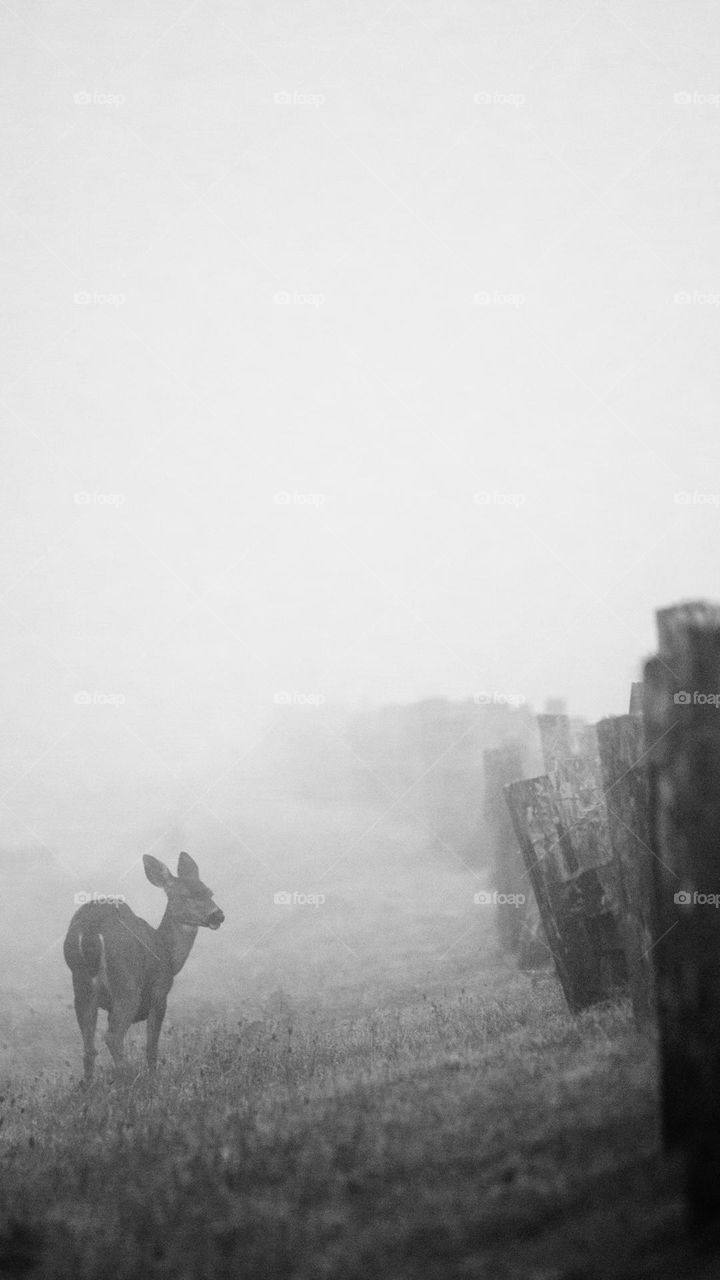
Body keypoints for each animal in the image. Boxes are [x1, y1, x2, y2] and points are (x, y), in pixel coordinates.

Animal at [63, 849, 222, 1080]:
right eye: (185, 896)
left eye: (210, 892)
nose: (218, 915)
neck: (168, 953)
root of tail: (92, 928)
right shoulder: (159, 993)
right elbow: (152, 1047)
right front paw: (154, 1077)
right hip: (127, 983)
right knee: (113, 1036)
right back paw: (128, 1077)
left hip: (81, 985)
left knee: (89, 1047)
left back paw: (90, 1083)